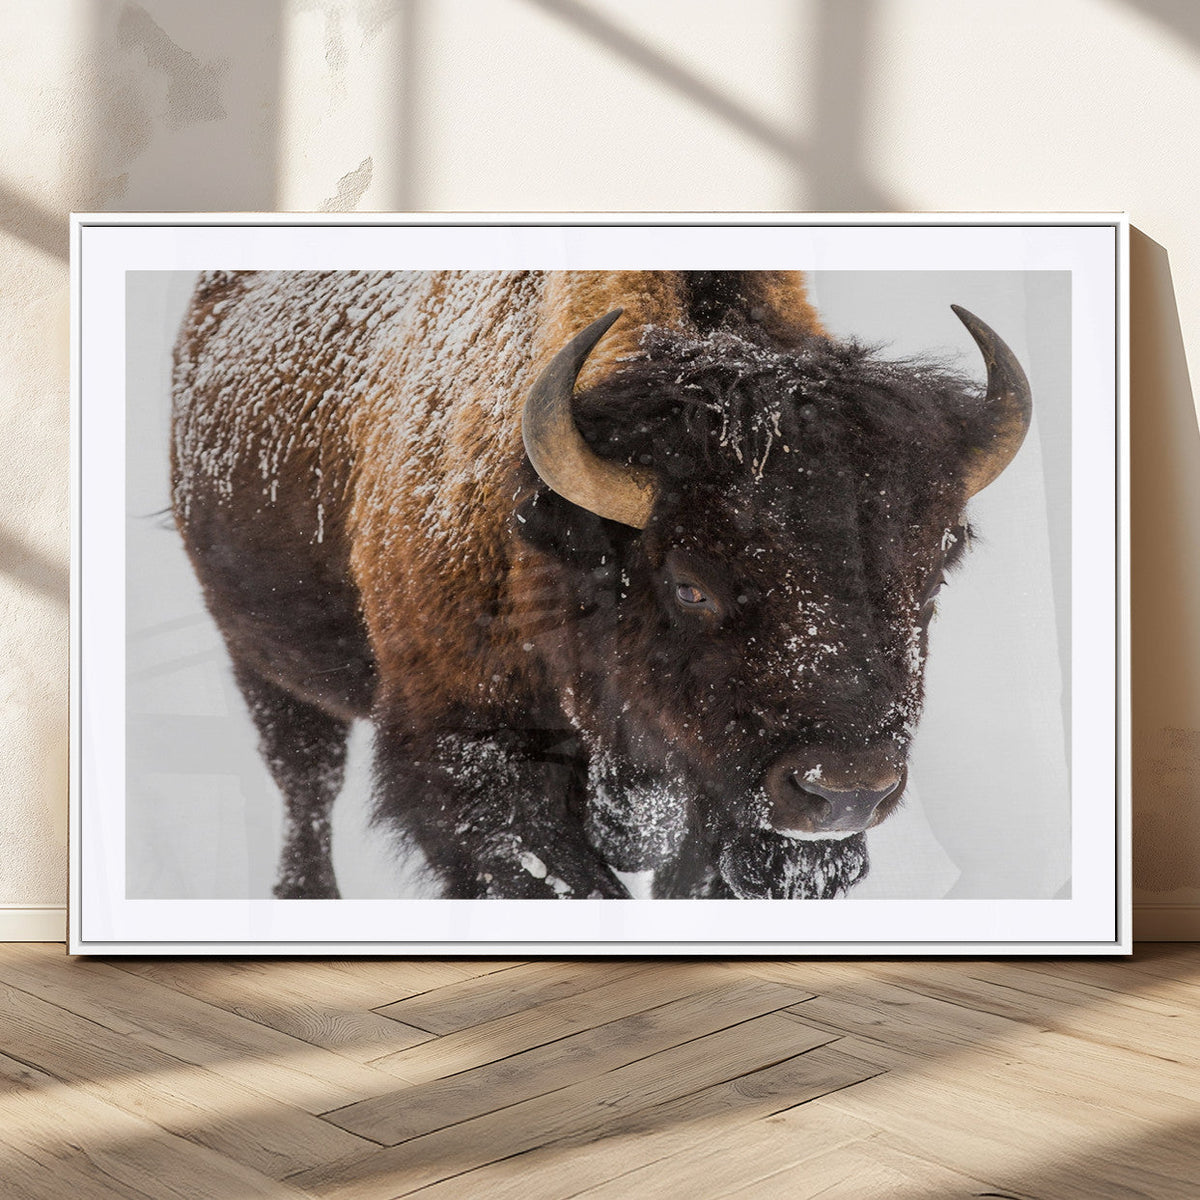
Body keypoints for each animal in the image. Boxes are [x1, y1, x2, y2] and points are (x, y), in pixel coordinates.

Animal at [170, 269, 1030, 900]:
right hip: (263, 659)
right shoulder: (474, 762)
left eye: (934, 569)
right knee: (305, 782)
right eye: (690, 585)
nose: (845, 790)